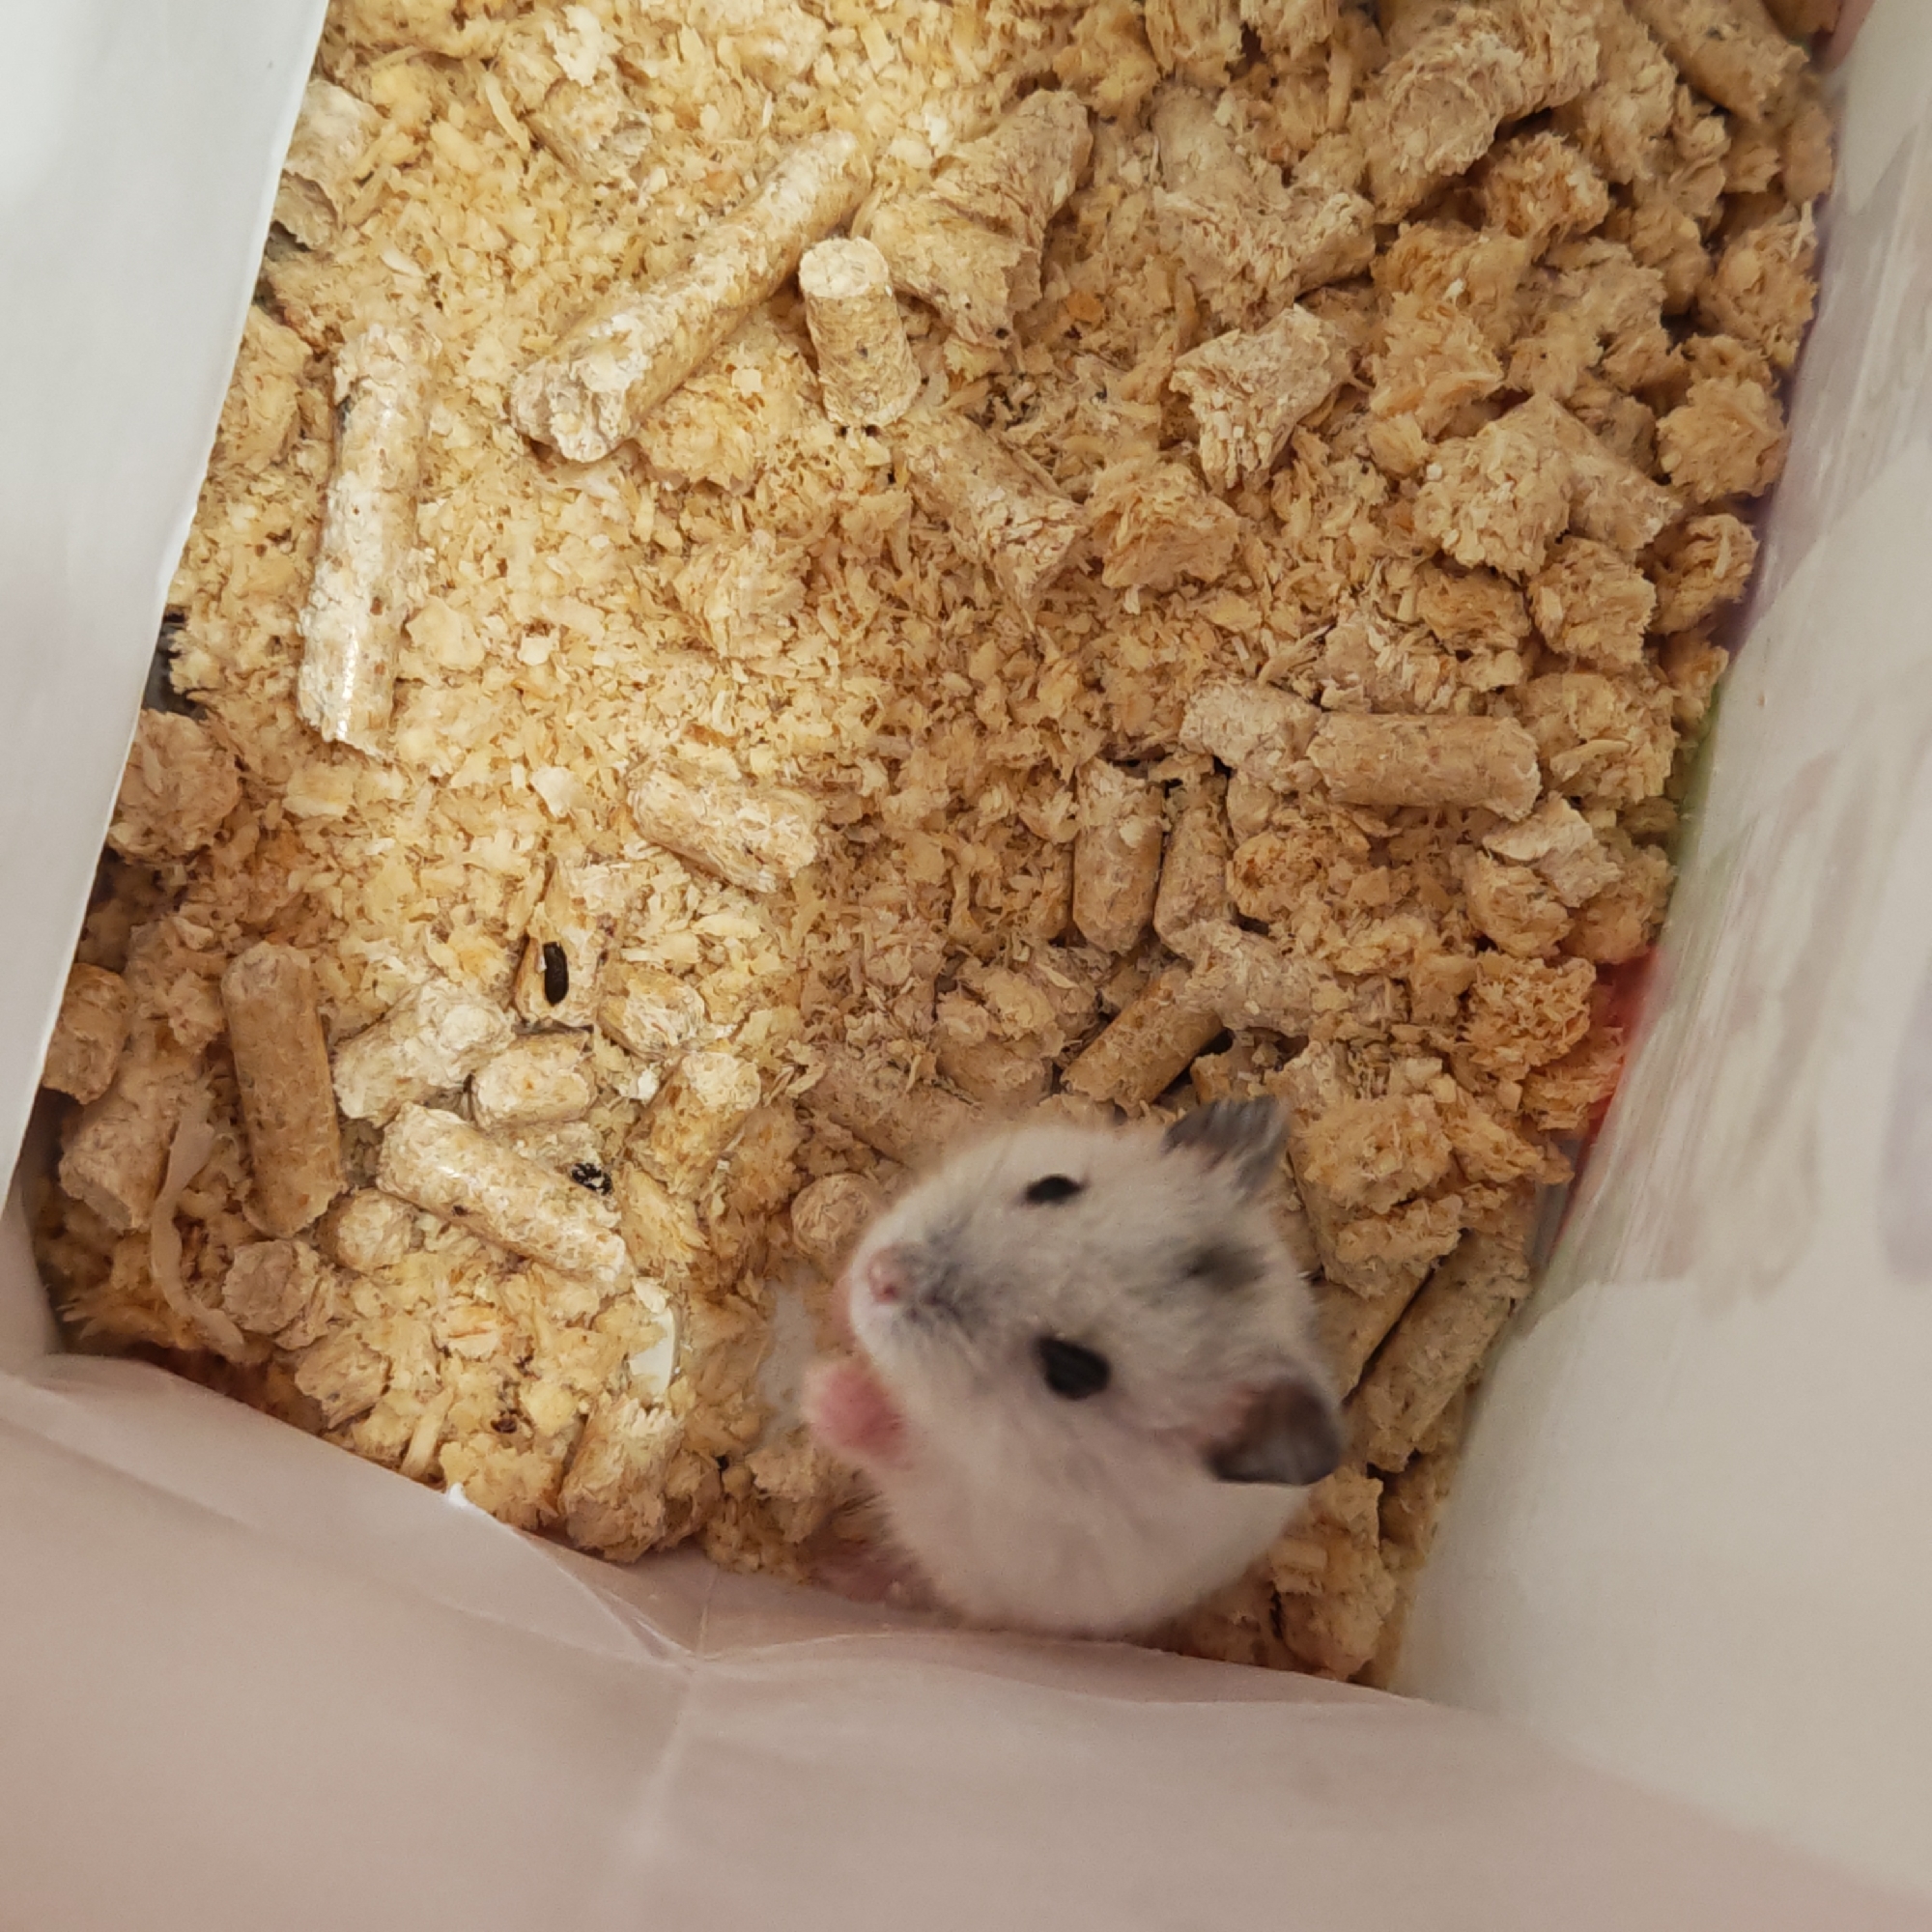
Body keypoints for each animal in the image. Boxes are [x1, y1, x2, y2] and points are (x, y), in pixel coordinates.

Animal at [801, 1098, 1341, 1641]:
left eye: (1072, 1372)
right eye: (1053, 1186)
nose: (883, 1277)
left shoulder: (965, 1510)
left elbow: (898, 1448)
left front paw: (823, 1390)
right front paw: (840, 1302)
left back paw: (836, 1569)